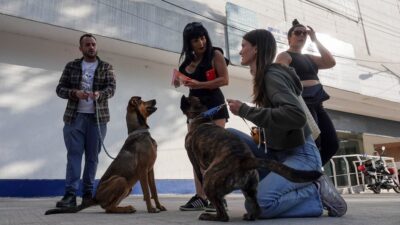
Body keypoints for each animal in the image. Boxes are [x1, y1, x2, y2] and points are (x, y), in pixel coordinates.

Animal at [181, 95, 322, 221]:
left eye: (188, 99)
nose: (183, 96)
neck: (202, 116)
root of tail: (244, 160)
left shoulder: (193, 159)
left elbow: (198, 173)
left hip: (210, 180)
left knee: (223, 216)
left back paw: (209, 216)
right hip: (250, 190)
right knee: (257, 208)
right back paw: (250, 216)